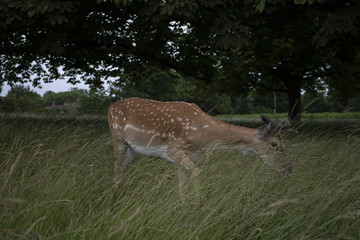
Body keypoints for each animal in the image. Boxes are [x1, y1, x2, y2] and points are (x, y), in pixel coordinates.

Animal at [107, 97, 292, 191]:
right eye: (274, 144)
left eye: (285, 145)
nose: (288, 169)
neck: (205, 138)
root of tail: (111, 106)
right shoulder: (172, 149)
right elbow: (197, 173)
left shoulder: (187, 156)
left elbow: (182, 187)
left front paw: (183, 209)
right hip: (118, 139)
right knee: (116, 168)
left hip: (134, 150)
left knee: (122, 169)